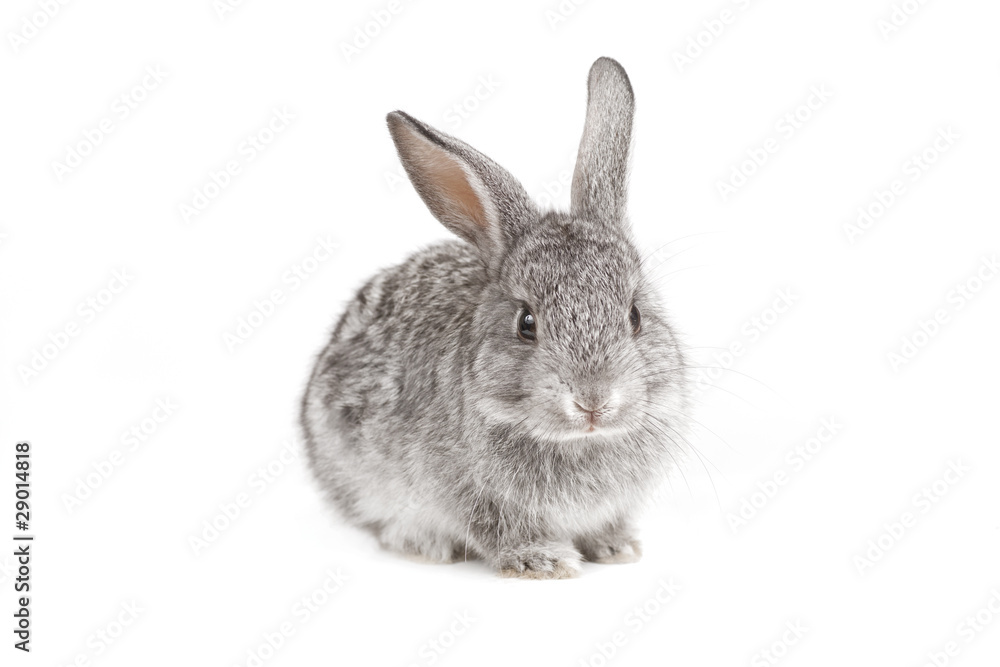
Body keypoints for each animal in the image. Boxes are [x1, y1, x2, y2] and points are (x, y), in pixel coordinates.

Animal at [301, 57, 689, 579]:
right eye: (526, 323)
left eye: (634, 315)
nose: (593, 400)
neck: (575, 440)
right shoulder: (468, 494)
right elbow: (499, 530)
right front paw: (545, 561)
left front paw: (616, 547)